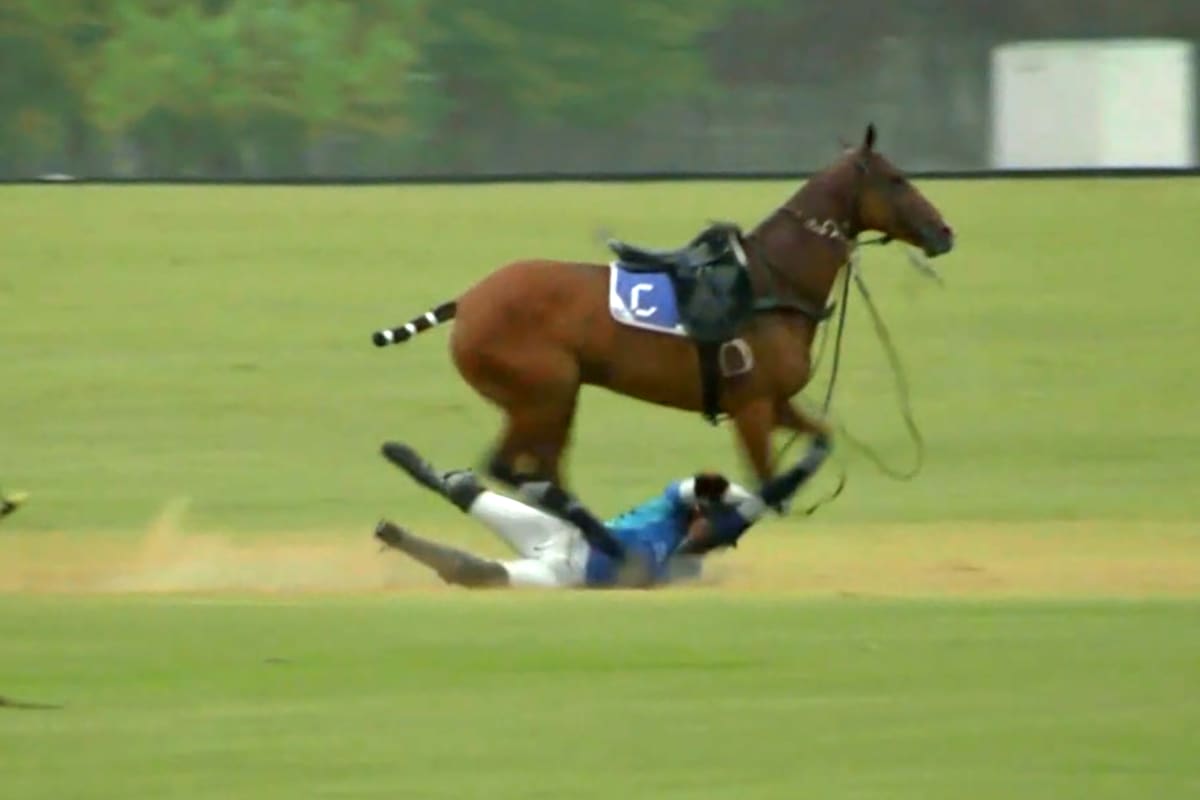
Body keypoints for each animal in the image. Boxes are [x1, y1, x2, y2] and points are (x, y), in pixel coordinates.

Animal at [371, 124, 953, 514]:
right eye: (897, 180)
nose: (944, 233)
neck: (771, 283)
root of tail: (468, 300)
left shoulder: (776, 403)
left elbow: (821, 439)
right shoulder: (752, 409)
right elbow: (766, 484)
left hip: (555, 399)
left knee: (538, 469)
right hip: (543, 393)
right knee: (509, 466)